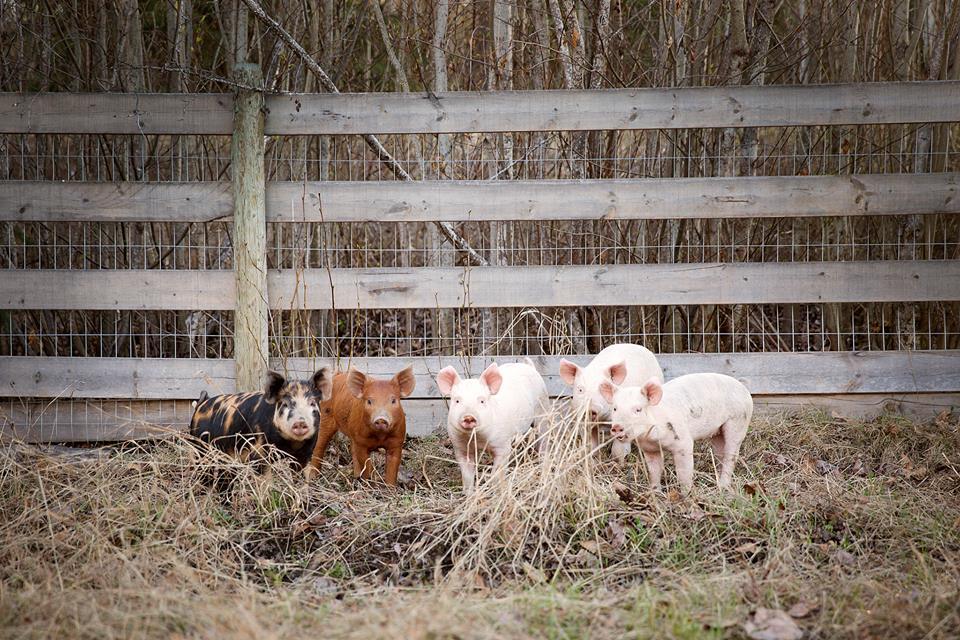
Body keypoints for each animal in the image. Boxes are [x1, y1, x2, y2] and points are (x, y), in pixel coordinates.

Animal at [189, 368, 332, 471]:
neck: (290, 444)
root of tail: (201, 404)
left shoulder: (305, 455)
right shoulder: (259, 451)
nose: (300, 421)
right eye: (285, 404)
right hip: (200, 449)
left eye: (312, 403)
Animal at [436, 359, 549, 493]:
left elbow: (497, 472)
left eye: (482, 401)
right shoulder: (461, 448)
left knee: (544, 438)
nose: (468, 416)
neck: (478, 440)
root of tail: (528, 366)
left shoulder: (503, 445)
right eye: (457, 401)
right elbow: (467, 475)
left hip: (543, 409)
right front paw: (469, 495)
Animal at [599, 372, 752, 491]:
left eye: (638, 409)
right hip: (718, 431)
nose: (617, 427)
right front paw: (655, 492)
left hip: (738, 421)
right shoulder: (649, 450)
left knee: (731, 455)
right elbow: (654, 471)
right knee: (720, 453)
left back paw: (723, 486)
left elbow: (683, 472)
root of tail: (742, 386)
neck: (652, 438)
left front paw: (685, 494)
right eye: (615, 408)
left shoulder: (683, 443)